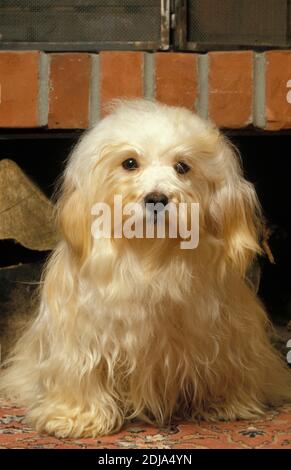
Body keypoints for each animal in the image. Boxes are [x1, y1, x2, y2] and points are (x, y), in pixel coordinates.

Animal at [0, 98, 291, 436]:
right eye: (129, 163)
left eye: (182, 166)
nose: (157, 198)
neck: (150, 253)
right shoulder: (82, 333)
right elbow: (83, 372)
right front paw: (75, 417)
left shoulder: (223, 331)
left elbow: (224, 366)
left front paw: (225, 404)